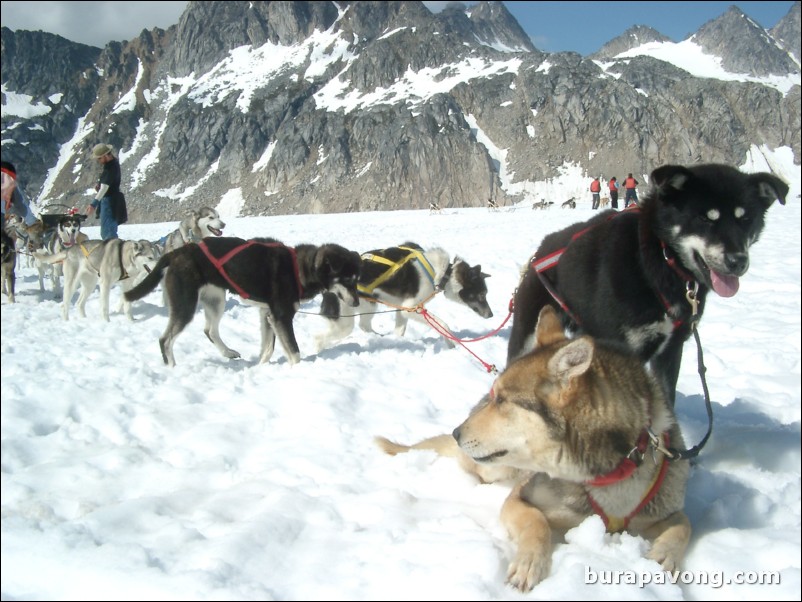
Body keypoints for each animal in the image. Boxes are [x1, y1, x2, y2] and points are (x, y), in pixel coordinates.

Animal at [122, 234, 360, 366]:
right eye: (348, 279)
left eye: (357, 280)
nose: (357, 303)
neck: (298, 268)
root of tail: (178, 252)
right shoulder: (282, 316)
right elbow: (294, 352)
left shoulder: (267, 315)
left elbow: (267, 349)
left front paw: (260, 368)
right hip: (186, 305)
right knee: (165, 339)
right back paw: (172, 368)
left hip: (216, 301)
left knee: (210, 330)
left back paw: (228, 352)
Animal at [314, 240, 494, 350]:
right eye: (482, 294)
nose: (491, 314)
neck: (442, 273)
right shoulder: (410, 308)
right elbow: (444, 326)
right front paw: (451, 343)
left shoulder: (401, 308)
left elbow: (400, 330)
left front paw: (397, 341)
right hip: (347, 319)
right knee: (319, 338)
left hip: (368, 305)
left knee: (364, 325)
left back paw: (381, 338)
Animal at [378, 304, 692, 592]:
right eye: (496, 395)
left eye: (502, 400)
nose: (457, 432)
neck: (608, 472)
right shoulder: (520, 499)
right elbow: (536, 522)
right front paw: (530, 563)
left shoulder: (660, 509)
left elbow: (682, 524)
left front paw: (664, 556)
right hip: (496, 469)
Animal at [506, 163, 788, 404]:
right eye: (705, 218)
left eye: (746, 219)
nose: (738, 261)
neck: (655, 262)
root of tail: (540, 251)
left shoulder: (670, 352)